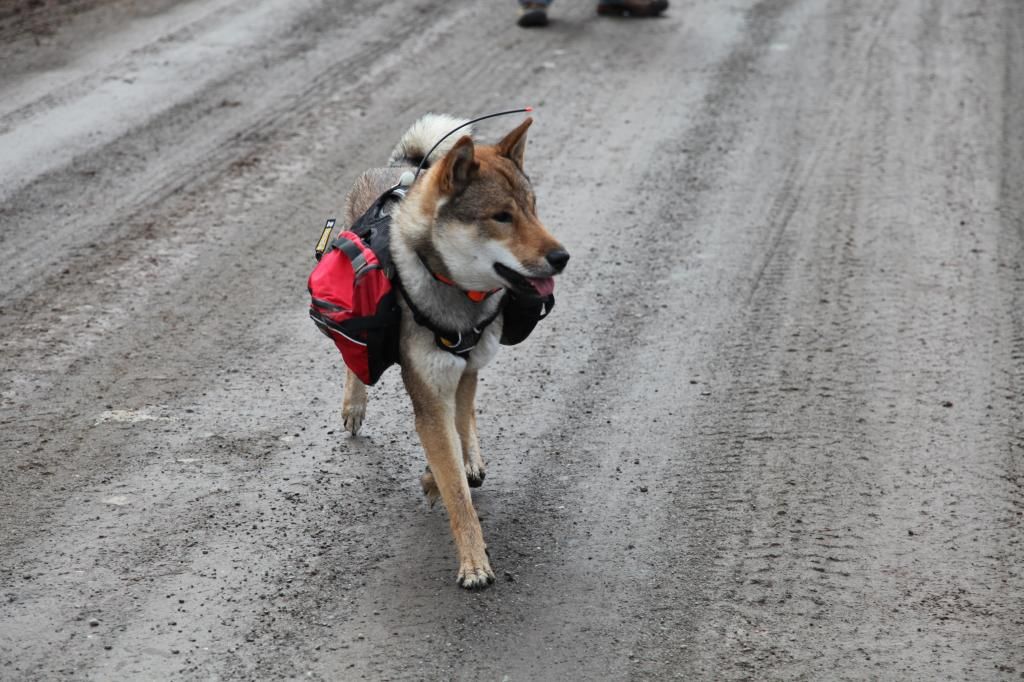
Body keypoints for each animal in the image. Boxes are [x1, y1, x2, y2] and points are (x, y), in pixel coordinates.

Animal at [335, 114, 569, 585]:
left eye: (533, 209)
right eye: (501, 217)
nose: (562, 257)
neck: (457, 295)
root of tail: (400, 166)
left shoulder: (460, 373)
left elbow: (457, 440)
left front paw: (446, 473)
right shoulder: (428, 394)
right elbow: (458, 496)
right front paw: (474, 563)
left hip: (472, 364)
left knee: (467, 413)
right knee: (356, 361)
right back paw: (355, 404)